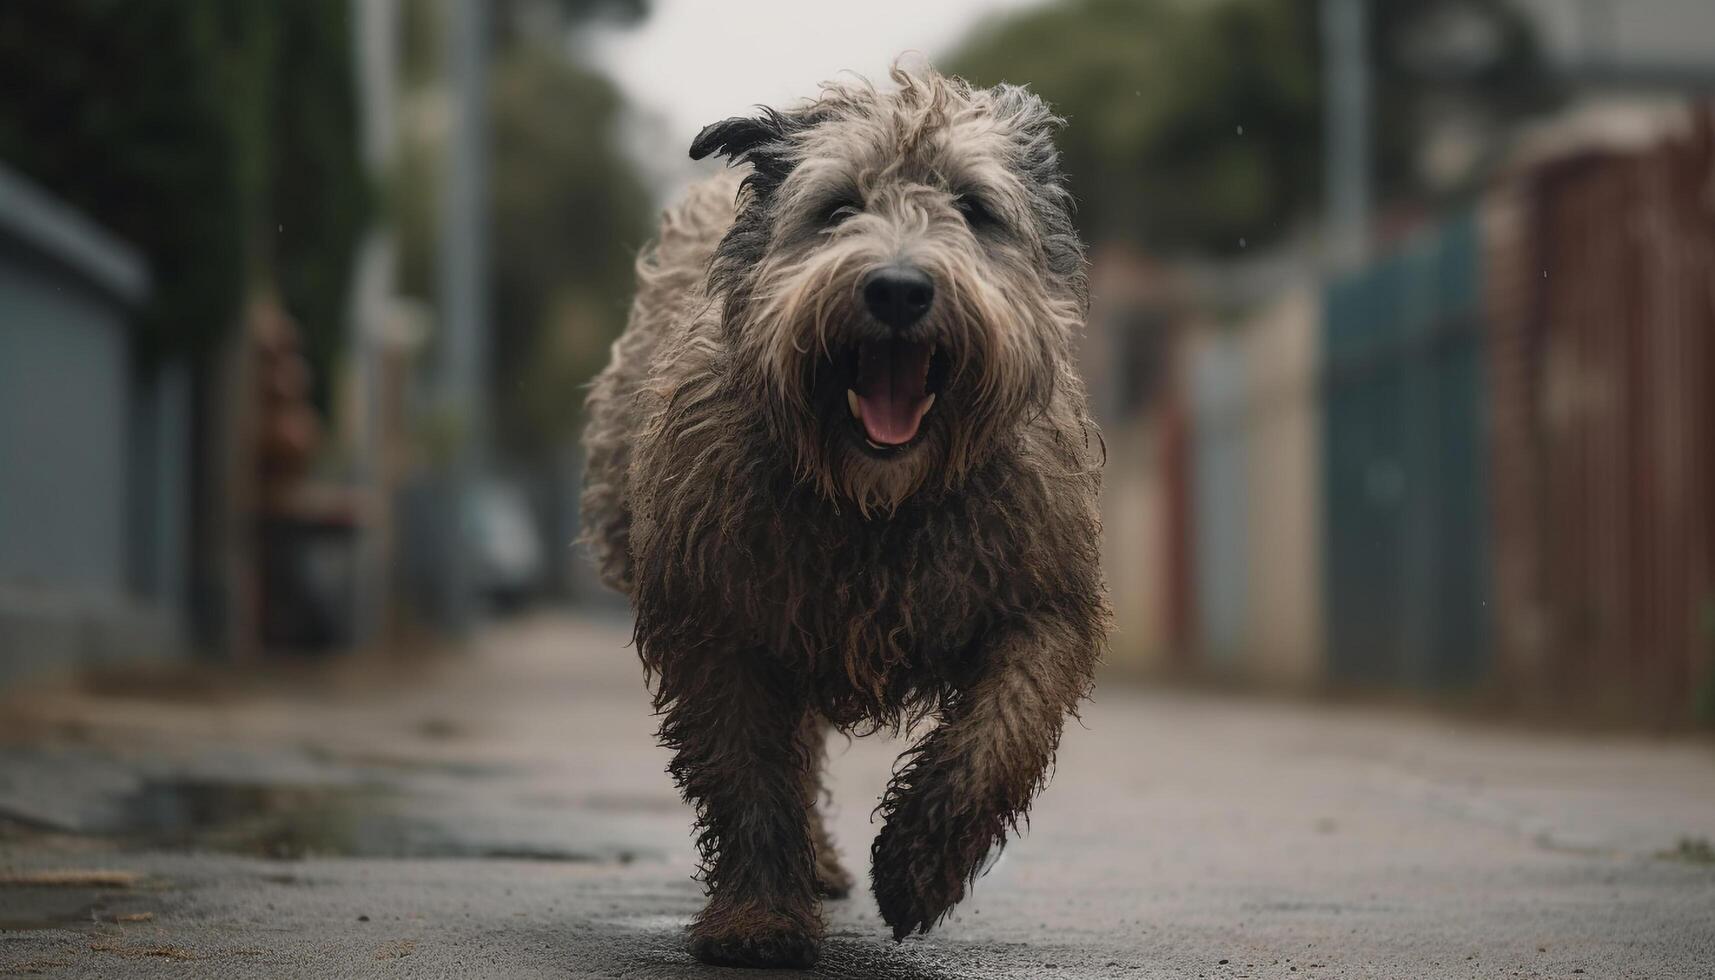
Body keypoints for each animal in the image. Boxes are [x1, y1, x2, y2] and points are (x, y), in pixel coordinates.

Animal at [579, 65, 1111, 967]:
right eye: (836, 207)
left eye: (973, 207)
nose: (898, 288)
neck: (875, 506)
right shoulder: (720, 623)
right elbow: (751, 776)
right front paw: (759, 919)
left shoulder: (1039, 597)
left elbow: (999, 735)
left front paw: (917, 869)